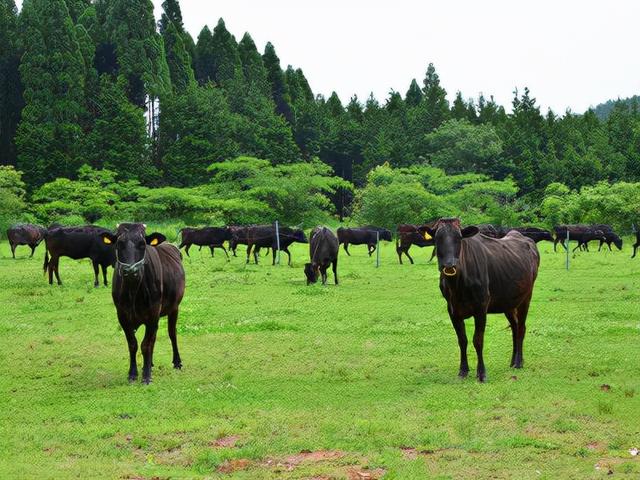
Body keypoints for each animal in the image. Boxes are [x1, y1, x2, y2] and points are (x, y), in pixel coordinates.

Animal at [100, 223, 185, 384]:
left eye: (142, 244)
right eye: (119, 244)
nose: (130, 271)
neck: (134, 292)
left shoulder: (153, 314)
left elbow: (146, 344)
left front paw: (146, 376)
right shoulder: (122, 315)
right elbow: (133, 344)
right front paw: (133, 373)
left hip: (174, 308)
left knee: (172, 333)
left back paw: (177, 362)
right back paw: (150, 363)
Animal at [422, 218, 536, 382]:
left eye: (459, 238)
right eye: (437, 238)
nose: (449, 265)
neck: (457, 287)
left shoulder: (481, 307)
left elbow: (478, 340)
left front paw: (481, 373)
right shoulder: (452, 310)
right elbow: (462, 340)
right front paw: (463, 370)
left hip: (526, 297)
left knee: (521, 327)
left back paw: (519, 362)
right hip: (508, 301)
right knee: (514, 327)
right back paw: (513, 361)